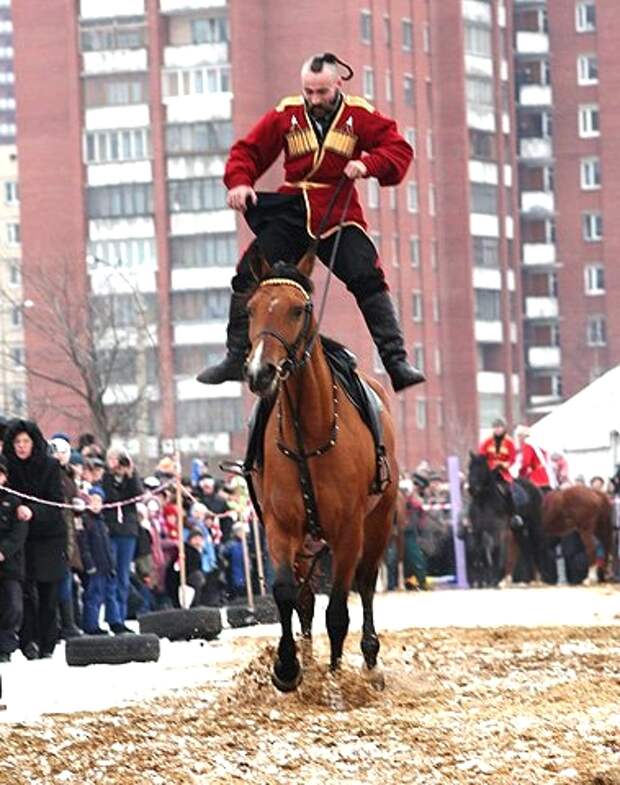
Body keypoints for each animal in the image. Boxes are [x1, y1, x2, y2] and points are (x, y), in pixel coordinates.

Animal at [246, 256, 398, 688]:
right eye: (251, 309)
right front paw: (288, 666)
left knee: (365, 585)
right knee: (305, 598)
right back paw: (311, 659)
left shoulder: (348, 530)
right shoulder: (281, 526)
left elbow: (339, 610)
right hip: (308, 543)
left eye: (298, 310)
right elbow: (286, 593)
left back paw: (368, 661)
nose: (261, 372)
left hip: (378, 522)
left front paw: (335, 677)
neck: (306, 430)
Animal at [468, 450, 544, 584]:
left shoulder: (499, 530)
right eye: (470, 468)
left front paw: (495, 578)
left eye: (481, 468)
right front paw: (483, 579)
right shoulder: (479, 531)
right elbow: (480, 551)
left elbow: (497, 550)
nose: (472, 489)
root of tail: (535, 487)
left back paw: (537, 577)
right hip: (518, 530)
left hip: (534, 525)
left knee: (536, 546)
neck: (484, 501)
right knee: (525, 549)